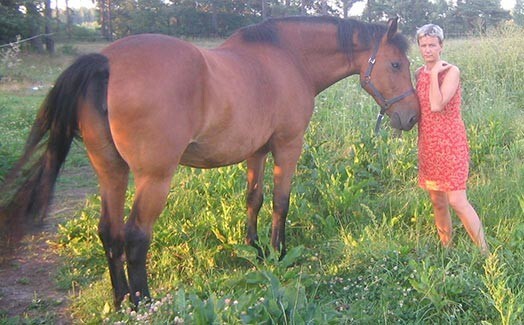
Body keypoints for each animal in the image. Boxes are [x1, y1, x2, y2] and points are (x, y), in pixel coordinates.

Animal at [0, 16, 418, 306]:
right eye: (397, 65)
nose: (411, 116)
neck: (288, 58)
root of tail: (105, 62)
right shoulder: (287, 146)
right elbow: (281, 202)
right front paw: (279, 252)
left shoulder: (256, 151)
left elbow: (254, 200)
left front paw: (254, 249)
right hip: (155, 177)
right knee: (135, 236)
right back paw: (143, 303)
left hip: (111, 172)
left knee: (110, 232)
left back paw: (121, 300)